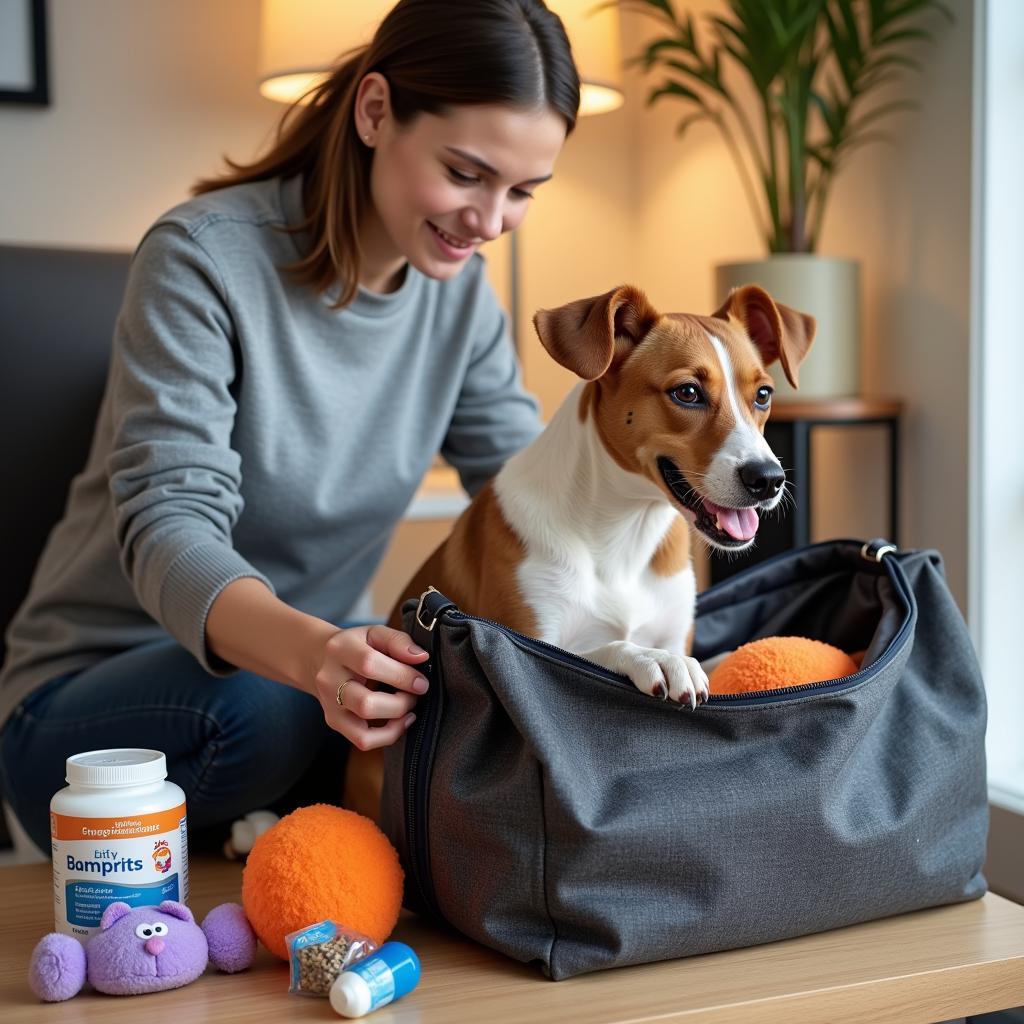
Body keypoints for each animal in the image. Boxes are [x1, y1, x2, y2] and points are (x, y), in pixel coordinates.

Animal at [387, 284, 819, 708]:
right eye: (688, 392)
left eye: (763, 394)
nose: (768, 479)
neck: (624, 531)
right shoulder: (520, 641)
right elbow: (591, 653)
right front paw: (654, 659)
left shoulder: (676, 631)